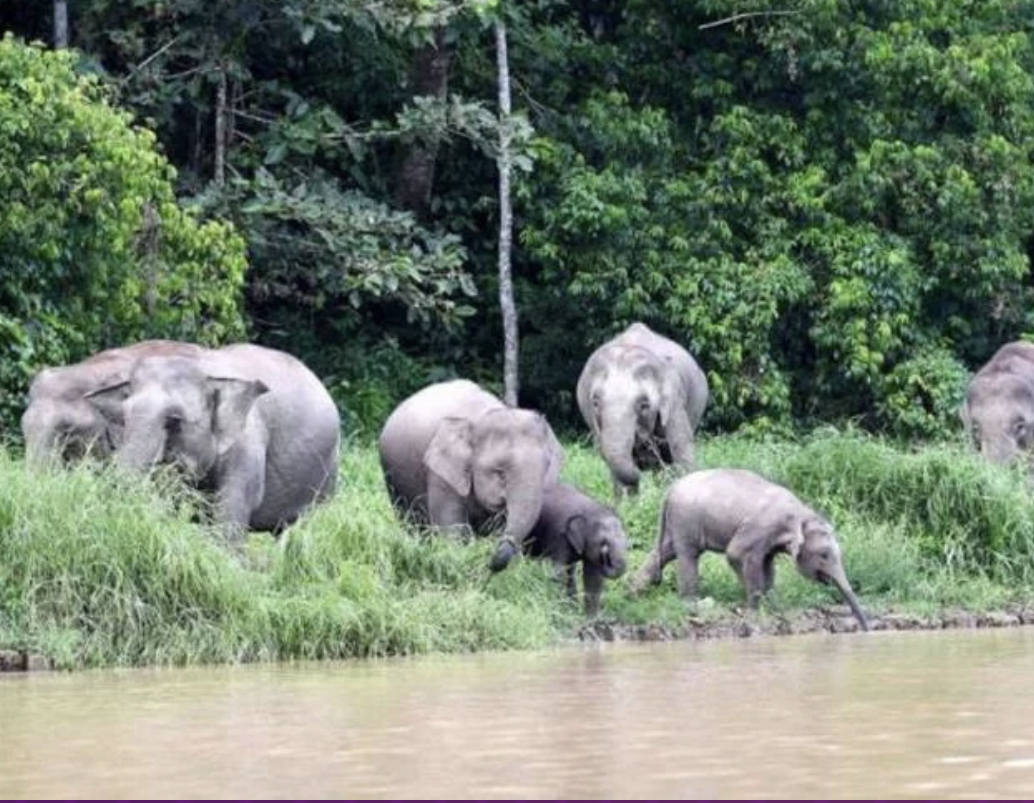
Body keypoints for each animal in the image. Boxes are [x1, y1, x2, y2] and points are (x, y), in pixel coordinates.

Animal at [376, 378, 562, 570]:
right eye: (500, 473)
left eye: (547, 467)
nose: (490, 558)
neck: (482, 417)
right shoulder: (441, 473)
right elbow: (451, 528)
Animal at [525, 481, 628, 615]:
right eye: (603, 542)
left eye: (627, 542)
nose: (606, 555)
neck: (592, 510)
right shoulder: (559, 535)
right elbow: (557, 572)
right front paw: (562, 612)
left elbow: (592, 579)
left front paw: (587, 617)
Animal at [624, 467, 868, 628]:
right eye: (824, 555)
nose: (867, 628)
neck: (802, 513)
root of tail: (670, 489)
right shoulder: (761, 527)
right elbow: (736, 553)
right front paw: (755, 608)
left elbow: (768, 564)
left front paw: (772, 604)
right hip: (686, 518)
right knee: (687, 555)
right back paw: (690, 603)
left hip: (677, 522)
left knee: (665, 552)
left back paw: (633, 594)